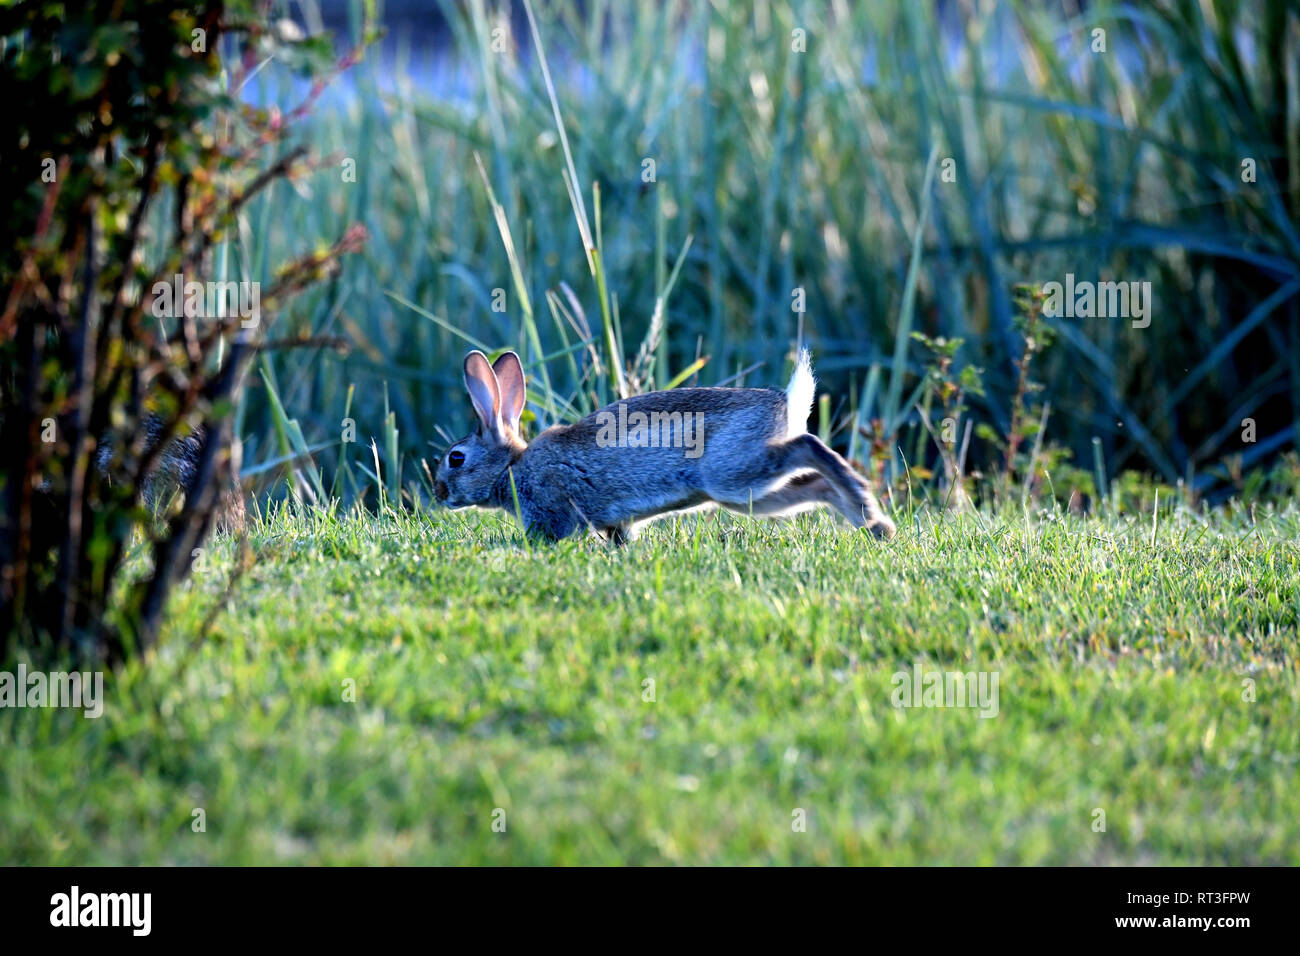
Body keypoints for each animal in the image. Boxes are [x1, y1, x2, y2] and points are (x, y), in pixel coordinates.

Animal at [433, 348, 896, 543]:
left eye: (456, 458)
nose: (438, 493)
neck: (512, 469)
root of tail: (787, 403)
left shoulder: (550, 505)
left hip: (731, 472)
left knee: (809, 446)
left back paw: (868, 508)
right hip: (751, 495)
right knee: (814, 484)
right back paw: (871, 523)